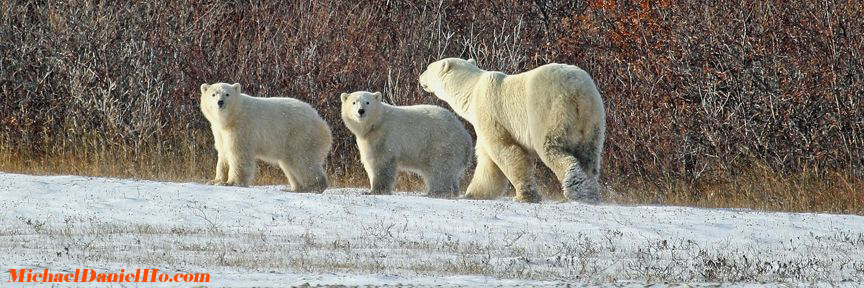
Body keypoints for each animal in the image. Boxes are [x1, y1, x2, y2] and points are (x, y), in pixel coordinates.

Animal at [199, 82, 330, 192]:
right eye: (213, 94)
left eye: (227, 94)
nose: (220, 102)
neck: (231, 118)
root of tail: (323, 123)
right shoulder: (219, 132)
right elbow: (223, 152)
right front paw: (215, 180)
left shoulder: (242, 128)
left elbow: (238, 154)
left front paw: (231, 182)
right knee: (290, 164)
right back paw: (295, 188)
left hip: (301, 135)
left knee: (303, 161)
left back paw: (313, 187)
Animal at [340, 91, 472, 197]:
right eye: (353, 102)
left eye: (367, 102)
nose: (361, 111)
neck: (376, 124)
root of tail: (466, 135)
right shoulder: (368, 139)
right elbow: (370, 160)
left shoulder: (385, 135)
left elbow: (381, 162)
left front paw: (376, 190)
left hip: (441, 143)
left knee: (440, 169)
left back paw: (437, 192)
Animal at [420, 58, 608, 202]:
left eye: (429, 67)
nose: (420, 77)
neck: (471, 91)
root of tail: (577, 90)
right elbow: (488, 161)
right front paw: (474, 193)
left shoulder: (490, 113)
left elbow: (505, 150)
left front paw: (525, 196)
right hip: (592, 118)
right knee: (589, 156)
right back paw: (589, 192)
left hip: (548, 109)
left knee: (552, 149)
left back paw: (574, 186)